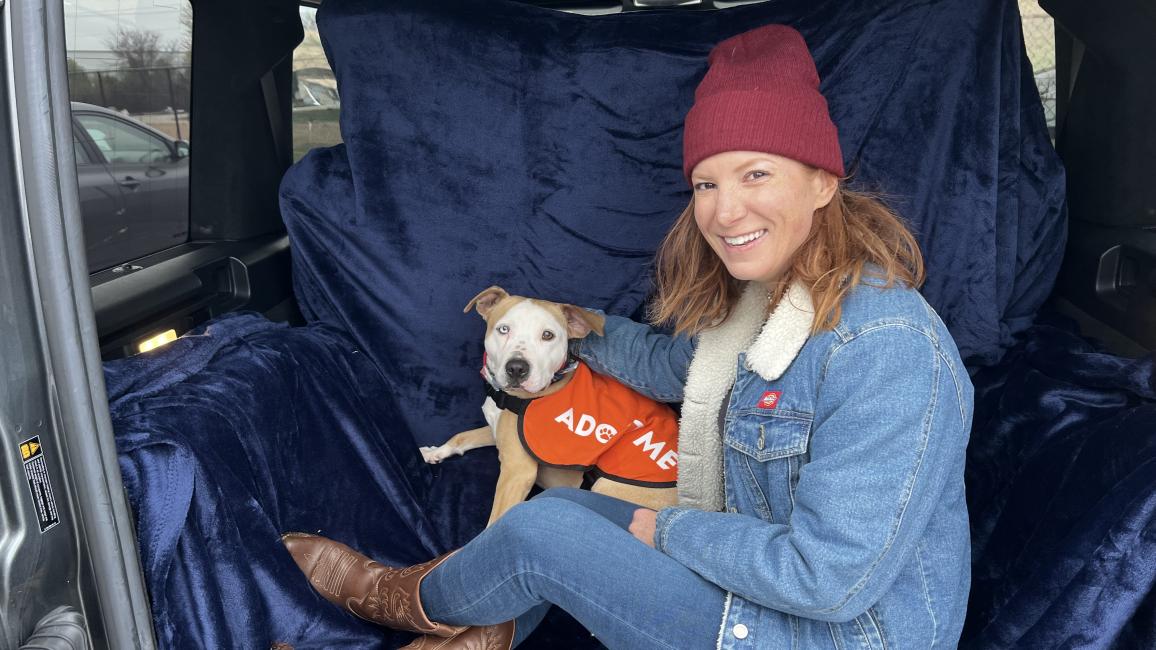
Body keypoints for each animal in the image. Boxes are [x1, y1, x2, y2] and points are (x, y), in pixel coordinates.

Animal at [423, 285, 675, 522]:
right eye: (504, 329)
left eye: (548, 335)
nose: (517, 368)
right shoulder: (498, 430)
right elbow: (462, 436)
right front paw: (435, 452)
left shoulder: (517, 472)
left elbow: (494, 521)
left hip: (606, 486)